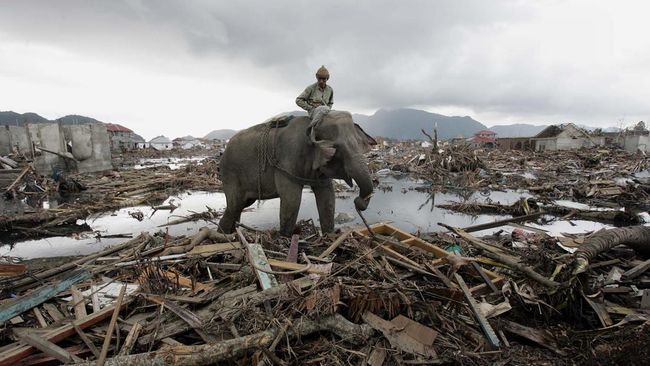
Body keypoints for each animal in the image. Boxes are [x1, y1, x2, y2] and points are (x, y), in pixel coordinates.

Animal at [216, 111, 372, 236]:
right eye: (338, 148)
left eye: (360, 144)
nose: (358, 202)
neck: (311, 126)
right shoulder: (287, 158)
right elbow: (292, 199)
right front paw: (285, 238)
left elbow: (327, 196)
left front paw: (330, 236)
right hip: (231, 173)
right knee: (235, 205)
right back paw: (223, 236)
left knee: (241, 205)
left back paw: (231, 233)